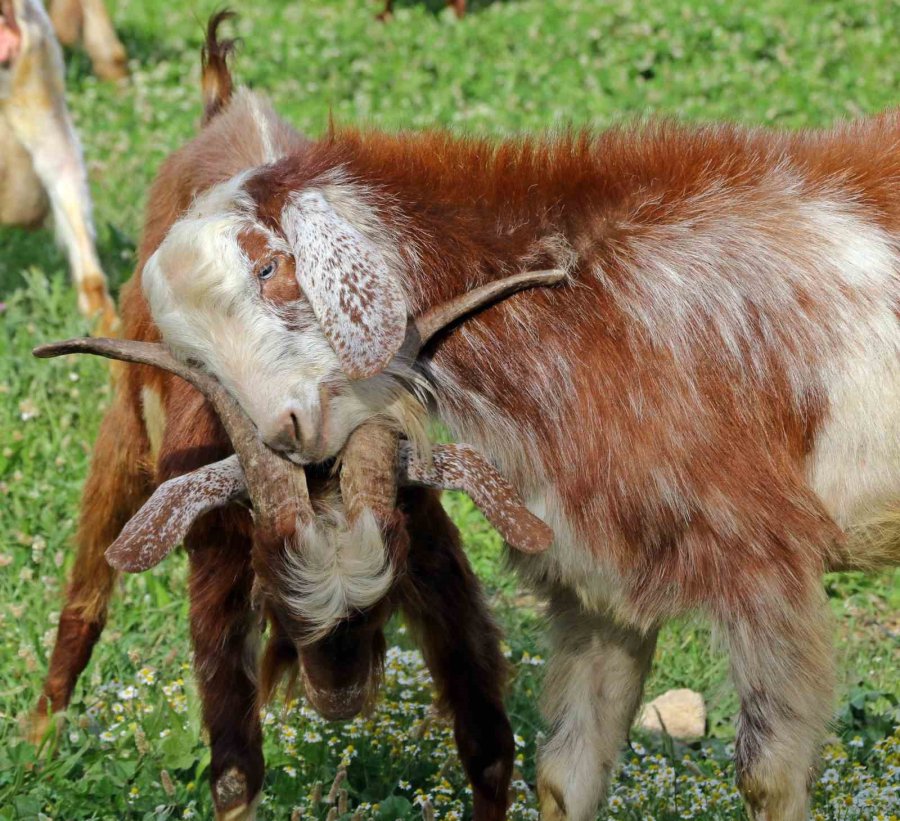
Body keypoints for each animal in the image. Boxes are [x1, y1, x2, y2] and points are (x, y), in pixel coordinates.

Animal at [29, 16, 556, 816]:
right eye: (278, 600)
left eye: (377, 608)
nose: (337, 699)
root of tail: (225, 103)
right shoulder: (220, 543)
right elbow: (234, 766)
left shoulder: (424, 528)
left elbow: (491, 746)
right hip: (124, 422)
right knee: (86, 591)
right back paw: (38, 740)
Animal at [135, 104, 900, 820]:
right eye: (194, 356)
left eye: (270, 267)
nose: (288, 432)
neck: (586, 302)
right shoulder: (602, 572)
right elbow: (567, 773)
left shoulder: (766, 562)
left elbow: (769, 776)